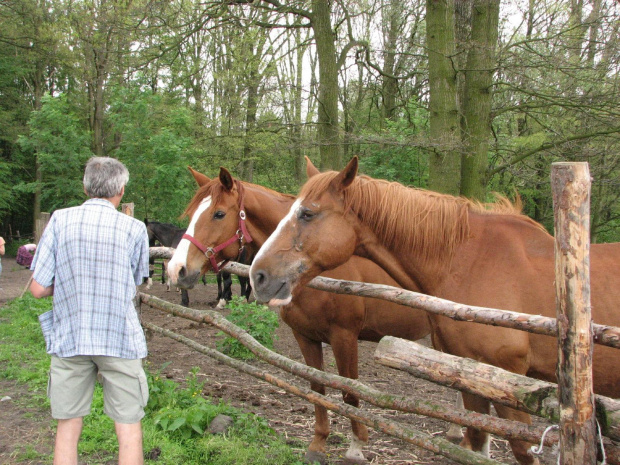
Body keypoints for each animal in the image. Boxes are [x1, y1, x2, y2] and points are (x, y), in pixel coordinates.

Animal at [165, 166, 436, 460]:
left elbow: (349, 393)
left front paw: (356, 446)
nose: (176, 269)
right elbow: (317, 388)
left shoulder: (344, 337)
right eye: (193, 214)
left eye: (218, 214)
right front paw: (318, 444)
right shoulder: (304, 336)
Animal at [249, 157, 620, 464]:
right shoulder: (474, 379)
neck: (471, 262)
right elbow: (477, 439)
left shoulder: (511, 383)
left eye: (307, 213)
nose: (258, 275)